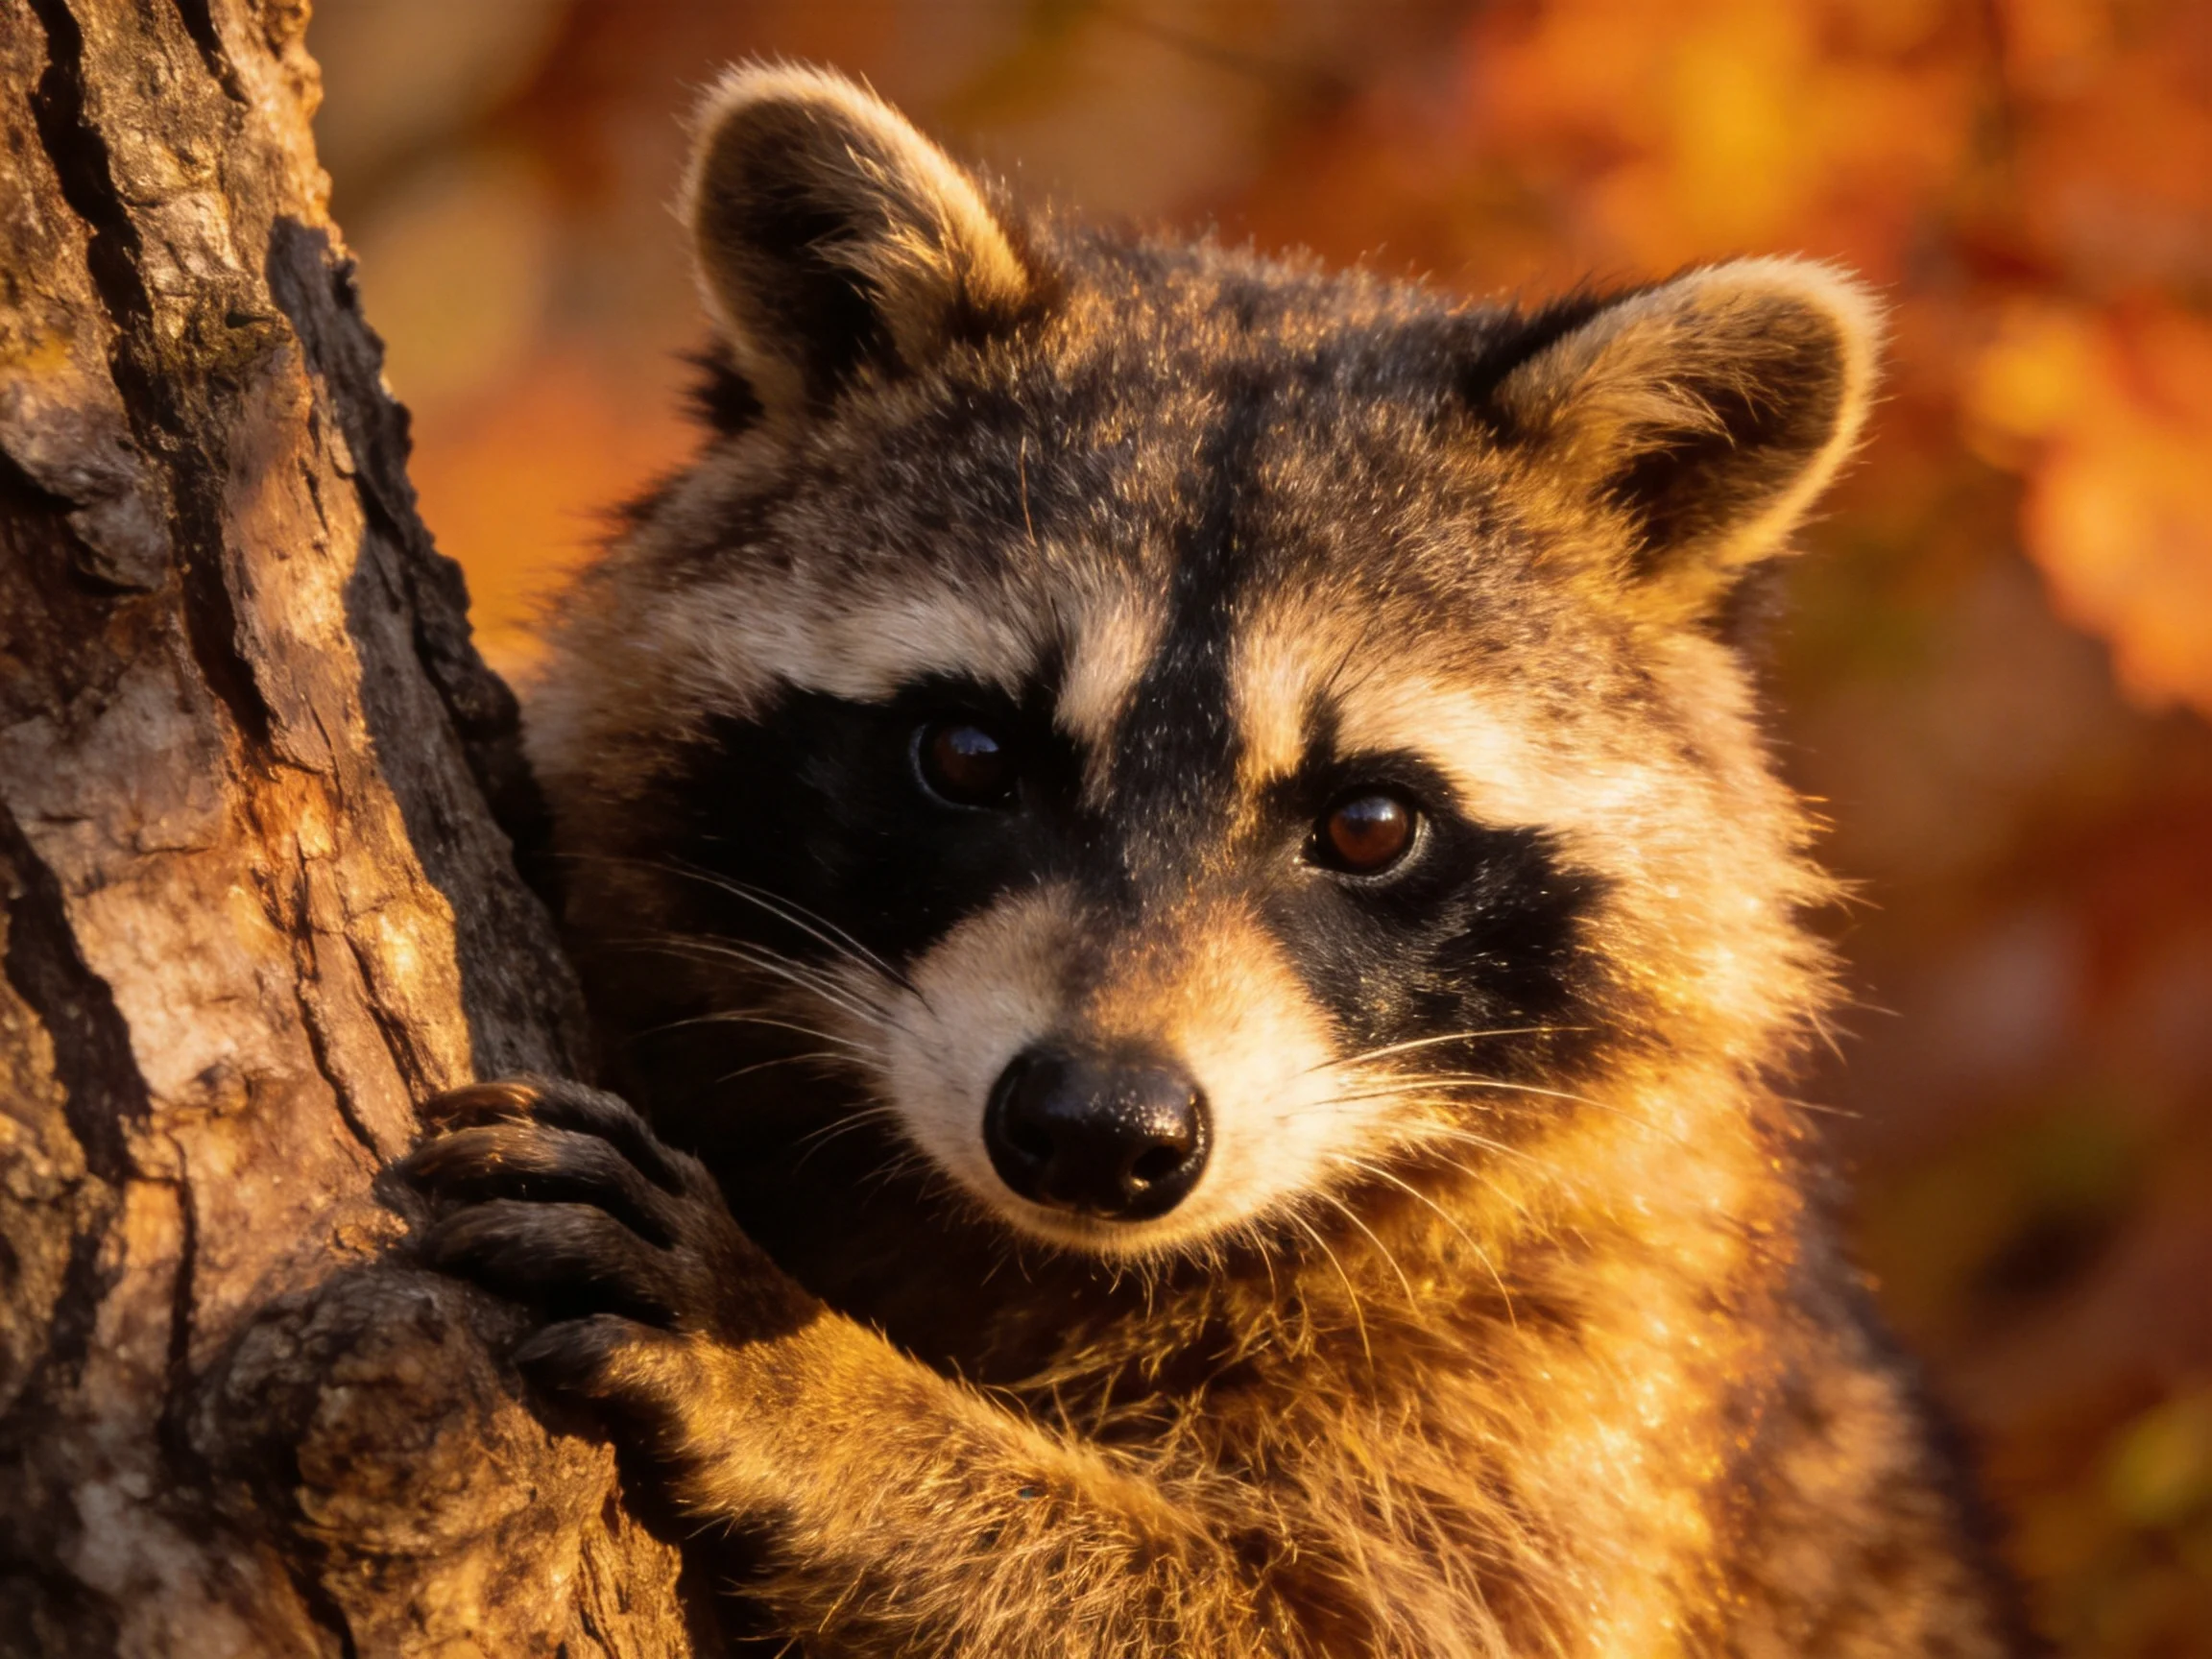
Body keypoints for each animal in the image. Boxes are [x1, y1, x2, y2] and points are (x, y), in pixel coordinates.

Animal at [404, 64, 2034, 1658]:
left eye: (1370, 824)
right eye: (968, 754)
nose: (1095, 1128)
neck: (1047, 1255)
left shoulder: (1587, 1347)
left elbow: (1327, 1620)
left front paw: (830, 1404)